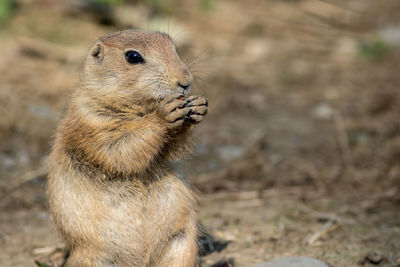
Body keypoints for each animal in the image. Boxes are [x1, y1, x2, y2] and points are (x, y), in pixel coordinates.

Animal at [47, 28, 206, 266]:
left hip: (182, 242)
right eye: (133, 56)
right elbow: (120, 148)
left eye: (175, 48)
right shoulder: (92, 121)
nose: (185, 81)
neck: (140, 107)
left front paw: (198, 106)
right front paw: (163, 115)